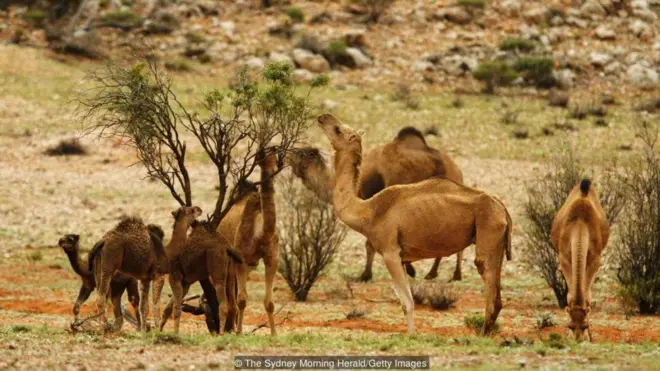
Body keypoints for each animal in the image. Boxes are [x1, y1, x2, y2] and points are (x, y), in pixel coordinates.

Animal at [217, 149, 278, 338]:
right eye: (261, 159)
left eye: (276, 159)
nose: (271, 172)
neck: (260, 235)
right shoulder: (241, 259)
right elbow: (242, 299)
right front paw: (239, 332)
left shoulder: (272, 259)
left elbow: (269, 302)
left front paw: (274, 334)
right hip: (228, 261)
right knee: (229, 293)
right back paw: (227, 328)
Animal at [288, 125, 464, 282]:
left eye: (302, 153)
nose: (288, 153)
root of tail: (456, 170)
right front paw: (408, 269)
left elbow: (370, 244)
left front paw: (365, 275)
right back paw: (441, 274)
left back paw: (446, 274)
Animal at [318, 112, 512, 334]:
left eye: (339, 130)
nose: (323, 117)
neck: (368, 211)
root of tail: (502, 209)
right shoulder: (402, 258)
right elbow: (407, 299)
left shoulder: (391, 252)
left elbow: (407, 302)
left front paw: (412, 334)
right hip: (497, 244)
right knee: (497, 294)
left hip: (488, 233)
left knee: (488, 284)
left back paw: (480, 333)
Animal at [552, 179, 608, 342]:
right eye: (570, 326)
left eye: (585, 325)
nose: (578, 340)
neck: (580, 222)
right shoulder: (564, 258)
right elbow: (570, 294)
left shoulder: (595, 259)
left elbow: (587, 295)